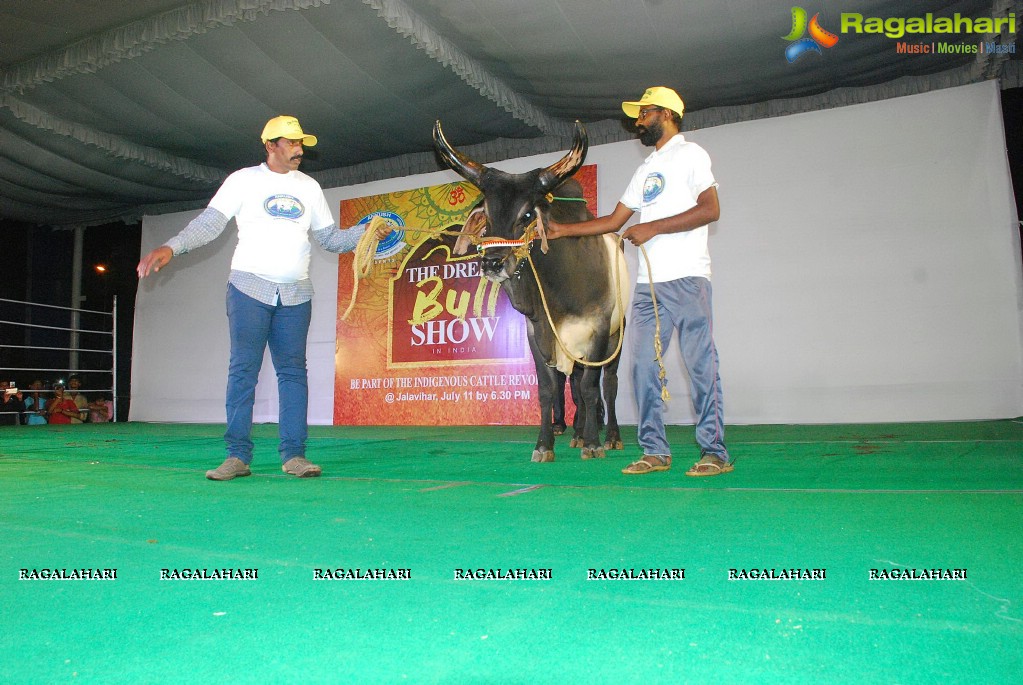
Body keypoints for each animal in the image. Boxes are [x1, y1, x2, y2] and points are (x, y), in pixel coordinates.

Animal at [429, 120, 621, 464]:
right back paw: (576, 433)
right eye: (487, 214)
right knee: (573, 384)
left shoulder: (598, 328)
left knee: (608, 384)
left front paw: (593, 443)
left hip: (617, 336)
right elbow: (548, 389)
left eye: (528, 215)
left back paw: (610, 436)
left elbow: (591, 386)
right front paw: (545, 445)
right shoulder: (537, 332)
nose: (492, 262)